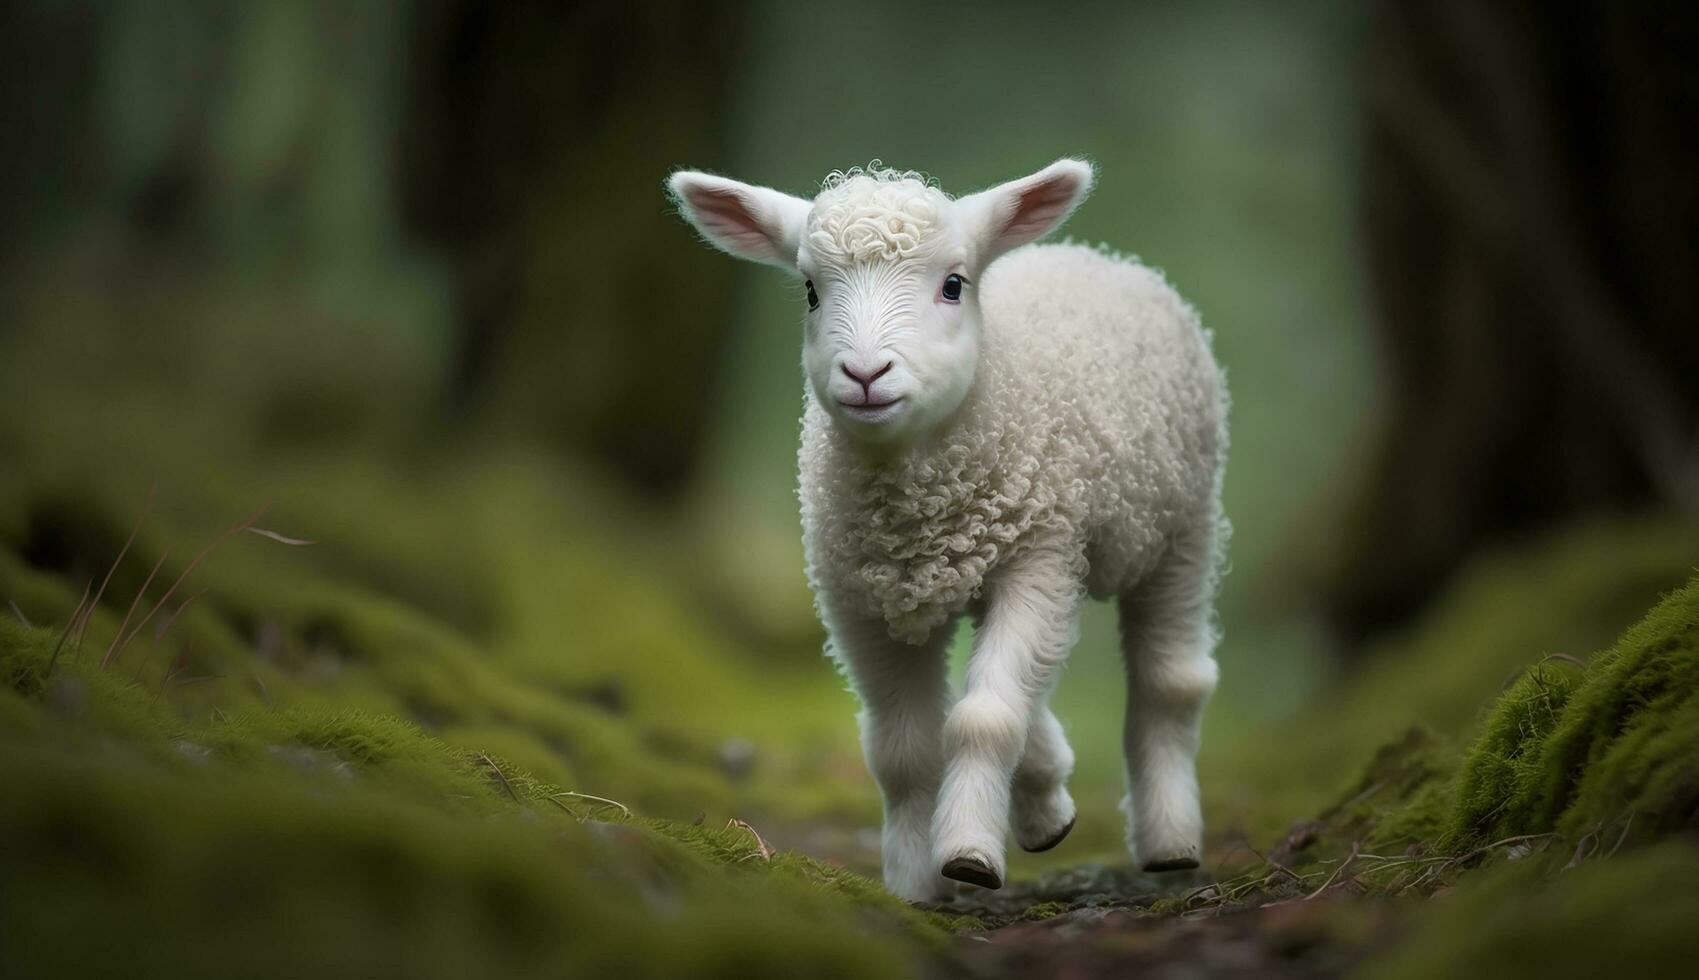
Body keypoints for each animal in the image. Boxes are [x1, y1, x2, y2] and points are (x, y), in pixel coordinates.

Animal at [666, 160, 1236, 903]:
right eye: (812, 291)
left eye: (953, 285)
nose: (866, 374)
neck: (920, 514)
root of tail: (1093, 254)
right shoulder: (859, 596)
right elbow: (903, 751)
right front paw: (912, 883)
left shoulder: (1037, 558)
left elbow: (985, 718)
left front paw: (967, 852)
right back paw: (1046, 801)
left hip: (1183, 524)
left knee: (1169, 681)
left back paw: (1169, 840)